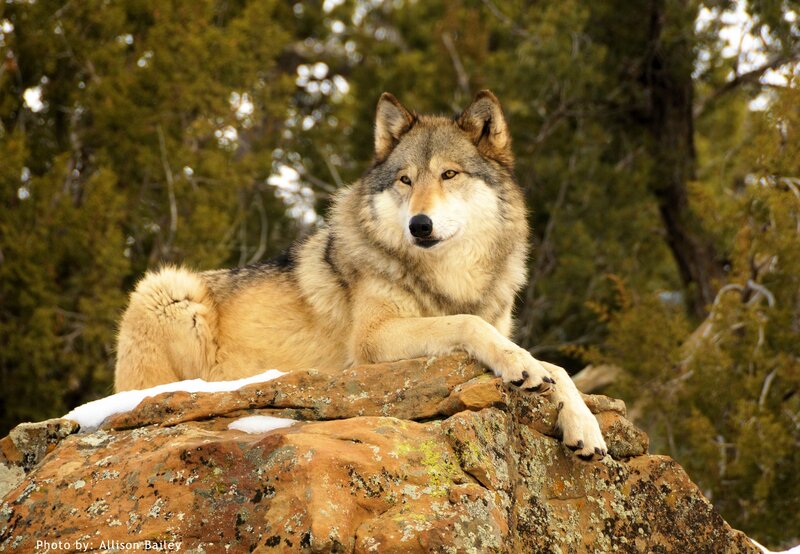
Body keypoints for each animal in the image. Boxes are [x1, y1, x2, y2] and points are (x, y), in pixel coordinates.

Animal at [115, 91, 607, 460]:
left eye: (449, 174)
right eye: (406, 180)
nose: (419, 225)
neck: (449, 280)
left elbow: (558, 368)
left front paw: (585, 426)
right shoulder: (372, 339)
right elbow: (471, 324)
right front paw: (518, 364)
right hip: (166, 289)